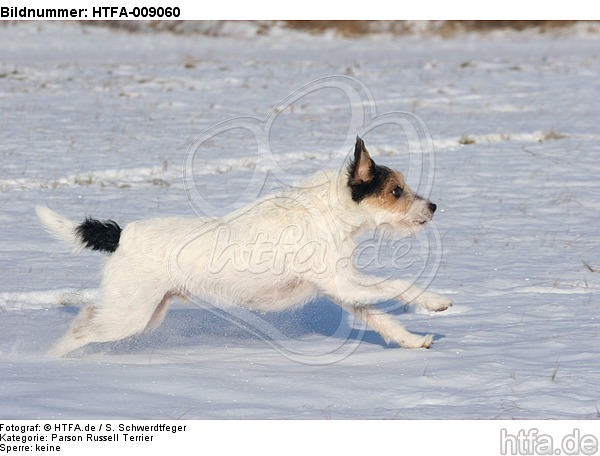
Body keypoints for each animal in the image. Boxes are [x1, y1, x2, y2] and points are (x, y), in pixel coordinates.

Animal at [36, 135, 450, 356]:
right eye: (396, 191)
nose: (432, 207)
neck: (329, 211)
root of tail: (123, 234)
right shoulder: (345, 281)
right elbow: (399, 284)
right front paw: (435, 301)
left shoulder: (343, 289)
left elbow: (382, 320)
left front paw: (412, 340)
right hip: (130, 314)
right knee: (83, 331)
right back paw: (50, 362)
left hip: (144, 311)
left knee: (87, 316)